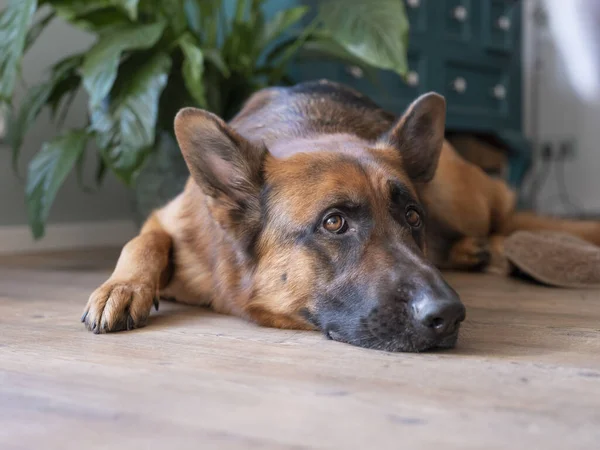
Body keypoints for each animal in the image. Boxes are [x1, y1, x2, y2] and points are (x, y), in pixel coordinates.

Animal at [81, 80, 600, 352]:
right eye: (334, 222)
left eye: (412, 216)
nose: (450, 315)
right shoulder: (166, 220)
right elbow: (142, 240)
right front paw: (122, 287)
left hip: (460, 195)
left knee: (508, 218)